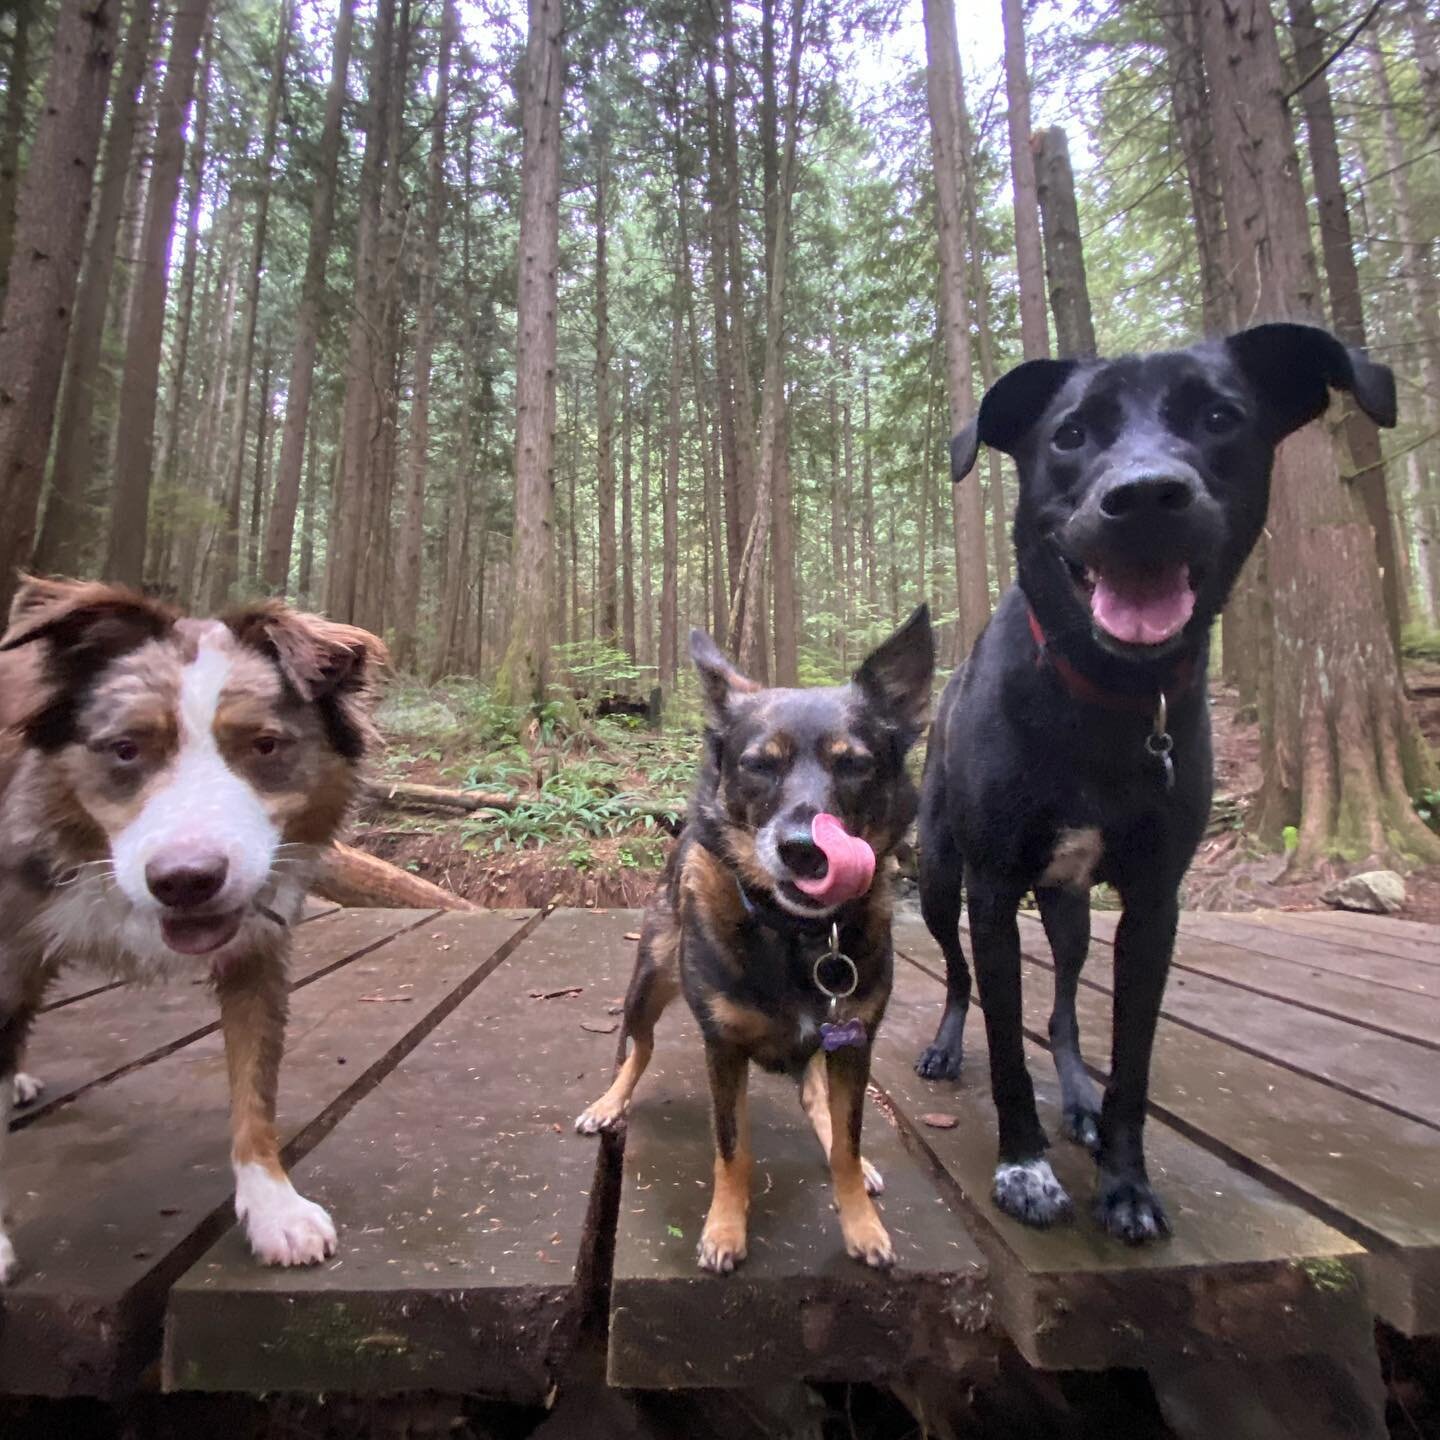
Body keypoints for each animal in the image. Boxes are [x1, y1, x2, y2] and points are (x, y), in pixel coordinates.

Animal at [0, 576, 385, 1284]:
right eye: (126, 749)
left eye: (264, 746)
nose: (186, 881)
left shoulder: (258, 948)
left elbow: (254, 1085)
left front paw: (273, 1207)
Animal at [573, 607, 933, 1272]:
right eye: (760, 764)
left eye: (854, 763)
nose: (806, 850)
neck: (798, 936)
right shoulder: (725, 1047)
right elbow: (732, 1147)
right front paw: (724, 1230)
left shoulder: (854, 1042)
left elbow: (845, 1140)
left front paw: (861, 1224)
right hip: (648, 983)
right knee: (638, 1048)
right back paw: (609, 1103)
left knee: (816, 1098)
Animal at [915, 324, 1399, 1238]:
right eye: (1069, 435)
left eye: (1221, 418)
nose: (1144, 498)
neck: (1107, 697)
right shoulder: (990, 888)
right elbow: (1007, 1046)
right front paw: (1024, 1164)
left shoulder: (1152, 906)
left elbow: (1130, 1062)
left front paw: (1126, 1181)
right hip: (935, 878)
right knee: (962, 977)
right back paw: (948, 1044)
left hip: (1070, 910)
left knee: (1066, 1007)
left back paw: (1078, 1096)